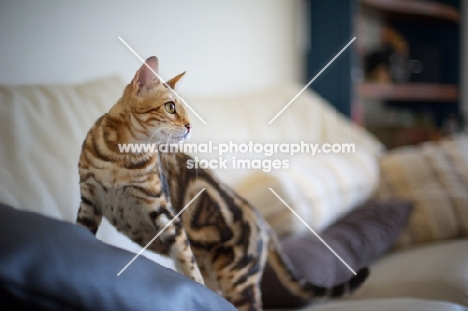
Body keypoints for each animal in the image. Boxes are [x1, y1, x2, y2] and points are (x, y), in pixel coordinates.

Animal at [76, 56, 370, 311]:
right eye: (170, 107)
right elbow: (81, 232)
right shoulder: (89, 201)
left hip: (237, 279)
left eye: (186, 110)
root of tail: (263, 222)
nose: (190, 126)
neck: (119, 160)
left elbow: (188, 267)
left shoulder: (166, 214)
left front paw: (195, 291)